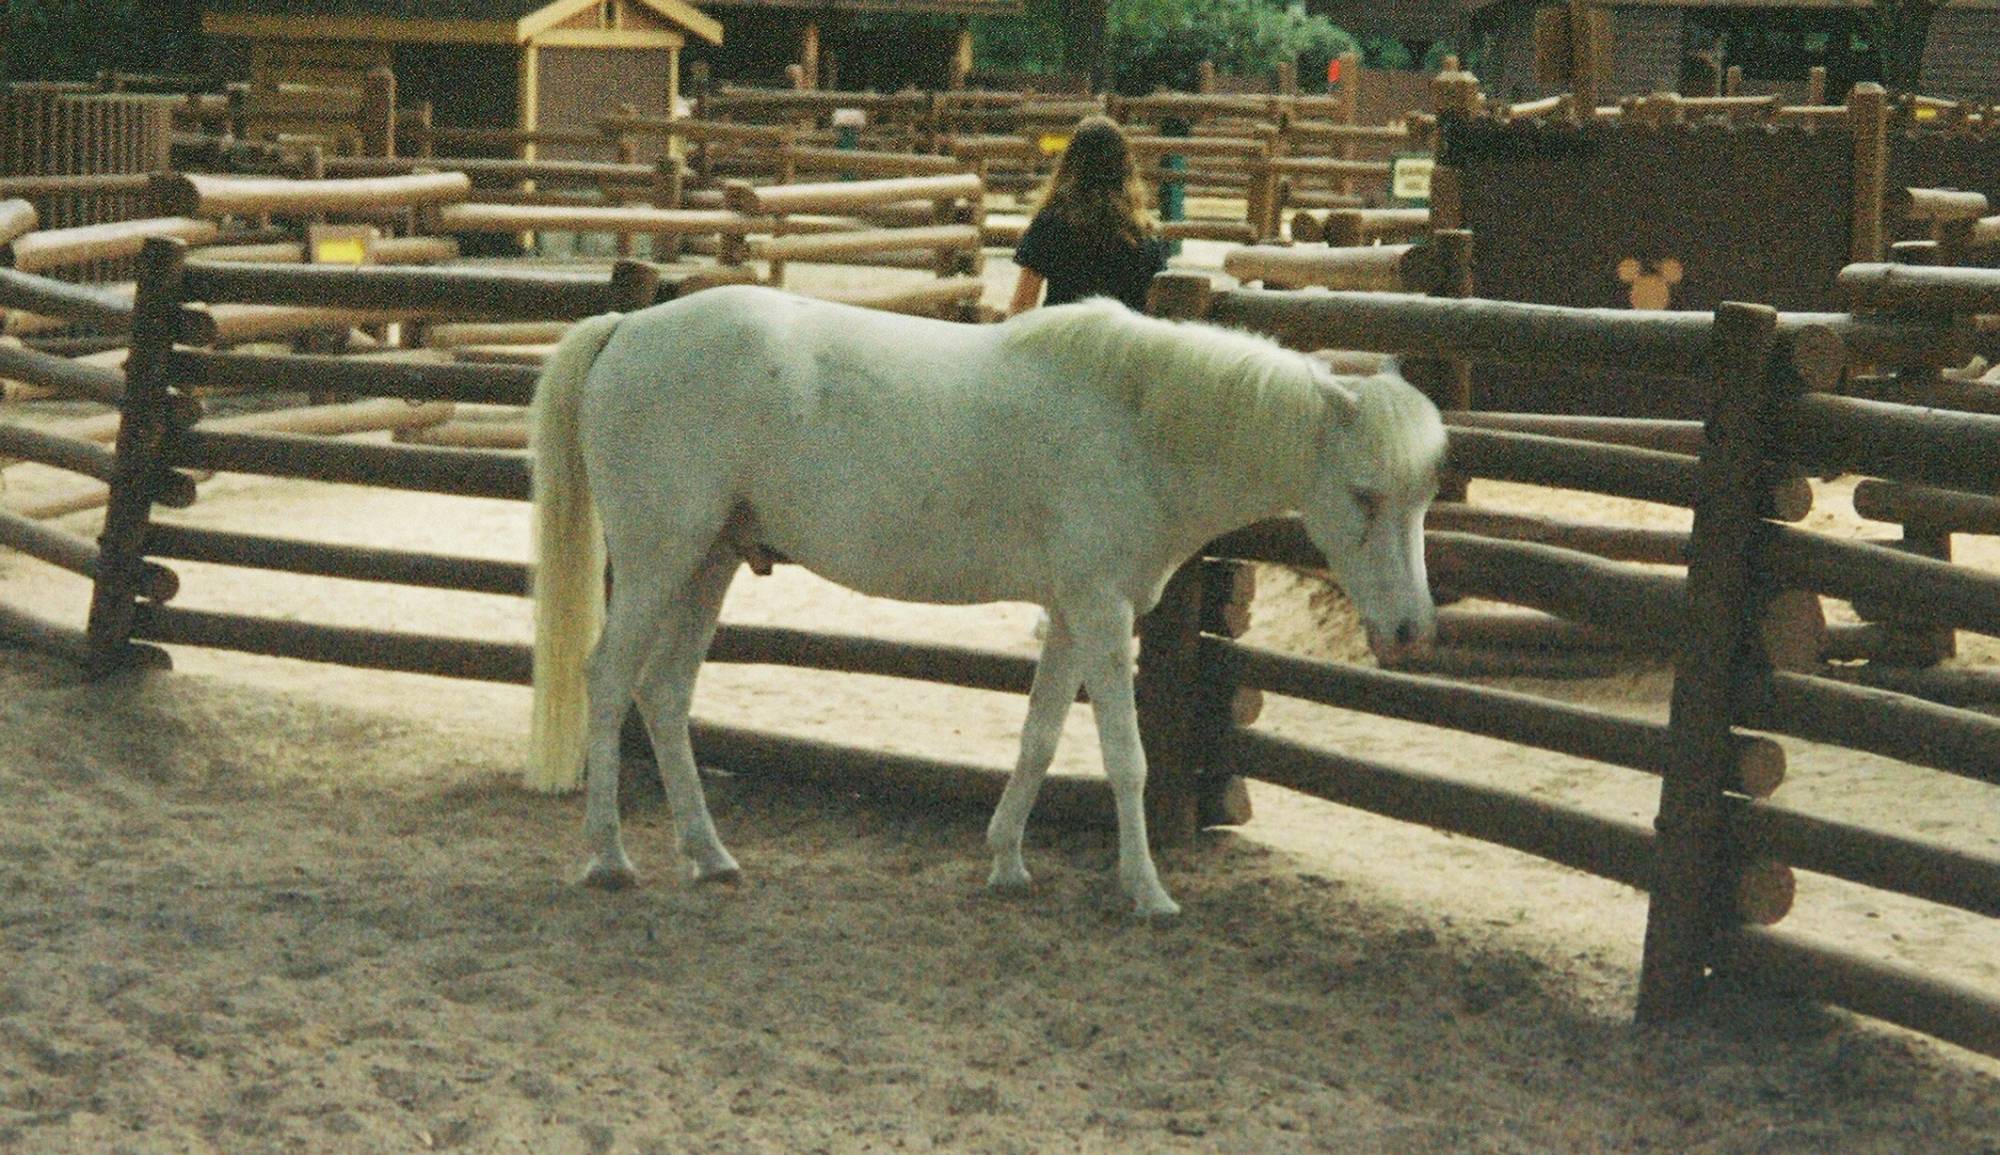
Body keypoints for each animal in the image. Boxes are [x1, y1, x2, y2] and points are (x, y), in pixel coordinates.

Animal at [524, 283, 1448, 911]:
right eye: (1365, 494)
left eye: (1424, 495)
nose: (1410, 630)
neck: (1140, 423)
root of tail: (626, 328)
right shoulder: (1104, 611)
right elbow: (1126, 756)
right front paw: (1147, 890)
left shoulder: (1074, 611)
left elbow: (1039, 738)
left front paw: (1007, 862)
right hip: (659, 560)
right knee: (608, 681)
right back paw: (610, 857)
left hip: (707, 564)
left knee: (664, 693)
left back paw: (710, 854)